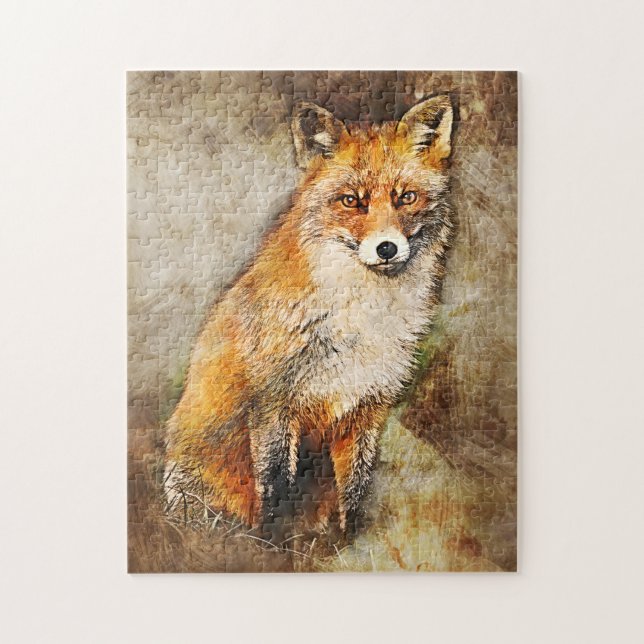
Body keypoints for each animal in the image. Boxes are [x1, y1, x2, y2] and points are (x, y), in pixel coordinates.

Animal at [164, 95, 455, 535]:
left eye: (406, 197)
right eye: (351, 200)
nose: (387, 248)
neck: (360, 319)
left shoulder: (367, 408)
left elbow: (354, 492)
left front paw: (348, 541)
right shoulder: (274, 403)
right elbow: (277, 490)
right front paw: (272, 544)